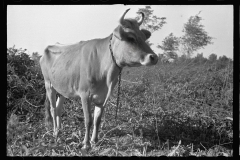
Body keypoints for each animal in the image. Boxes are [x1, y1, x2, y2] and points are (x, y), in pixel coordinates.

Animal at [40, 8, 158, 151]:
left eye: (143, 37)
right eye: (131, 38)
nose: (154, 57)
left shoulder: (103, 96)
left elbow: (97, 119)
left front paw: (95, 141)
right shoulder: (85, 95)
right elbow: (88, 120)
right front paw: (86, 144)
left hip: (62, 89)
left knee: (58, 109)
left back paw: (59, 131)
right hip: (48, 84)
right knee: (52, 109)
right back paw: (55, 133)